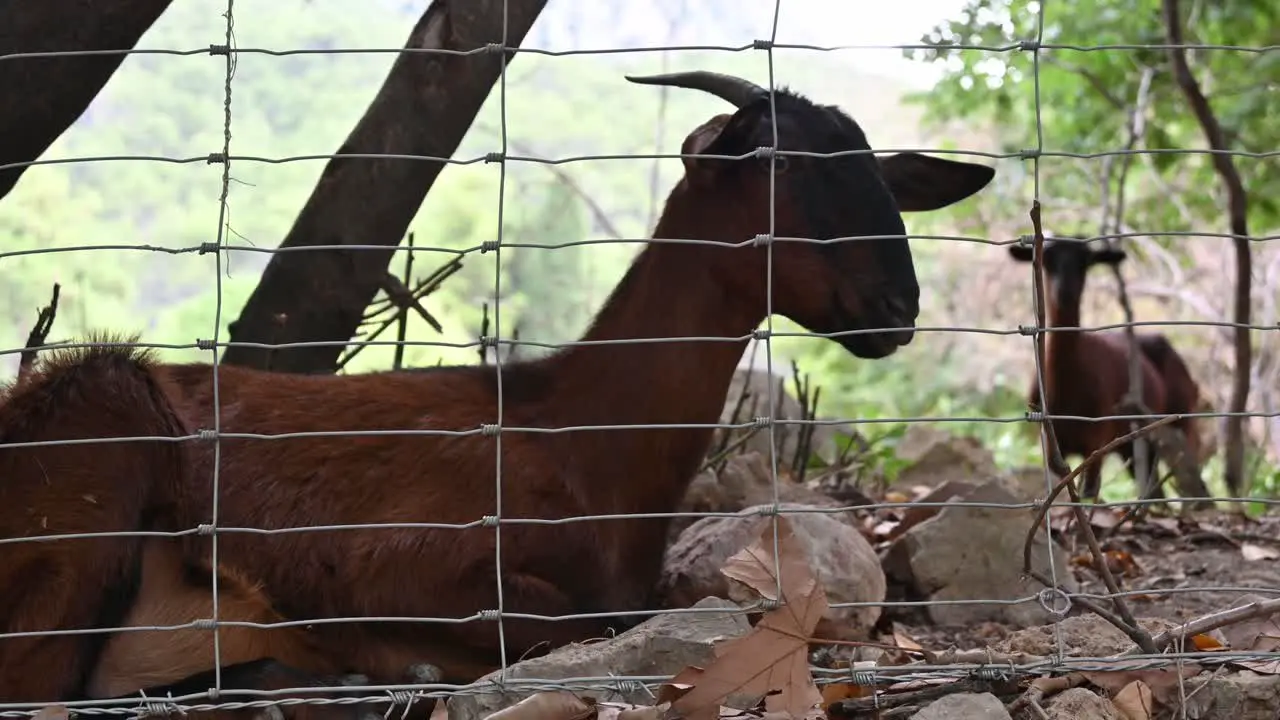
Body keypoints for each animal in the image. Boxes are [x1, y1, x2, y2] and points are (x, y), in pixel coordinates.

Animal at [0, 71, 993, 702]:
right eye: (779, 165)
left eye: (879, 177)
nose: (896, 306)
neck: (572, 432)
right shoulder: (406, 563)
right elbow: (567, 625)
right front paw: (392, 662)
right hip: (101, 438)